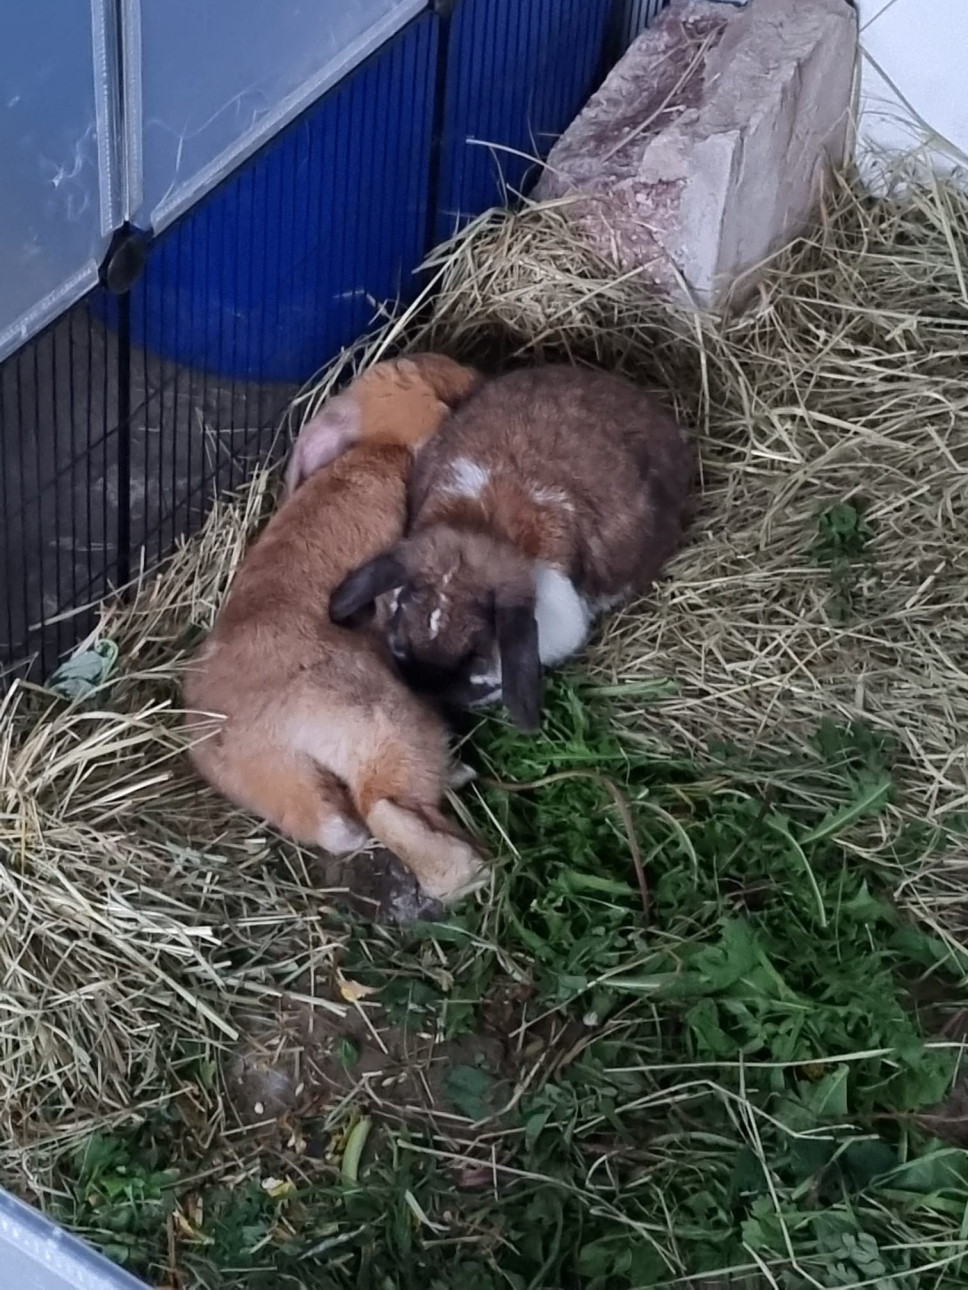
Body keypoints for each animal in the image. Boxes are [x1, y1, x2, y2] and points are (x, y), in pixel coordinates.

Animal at [183, 356, 487, 908]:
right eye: (443, 396)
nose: (476, 377)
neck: (379, 448)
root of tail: (264, 741)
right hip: (385, 721)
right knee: (387, 805)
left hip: (300, 788)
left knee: (350, 826)